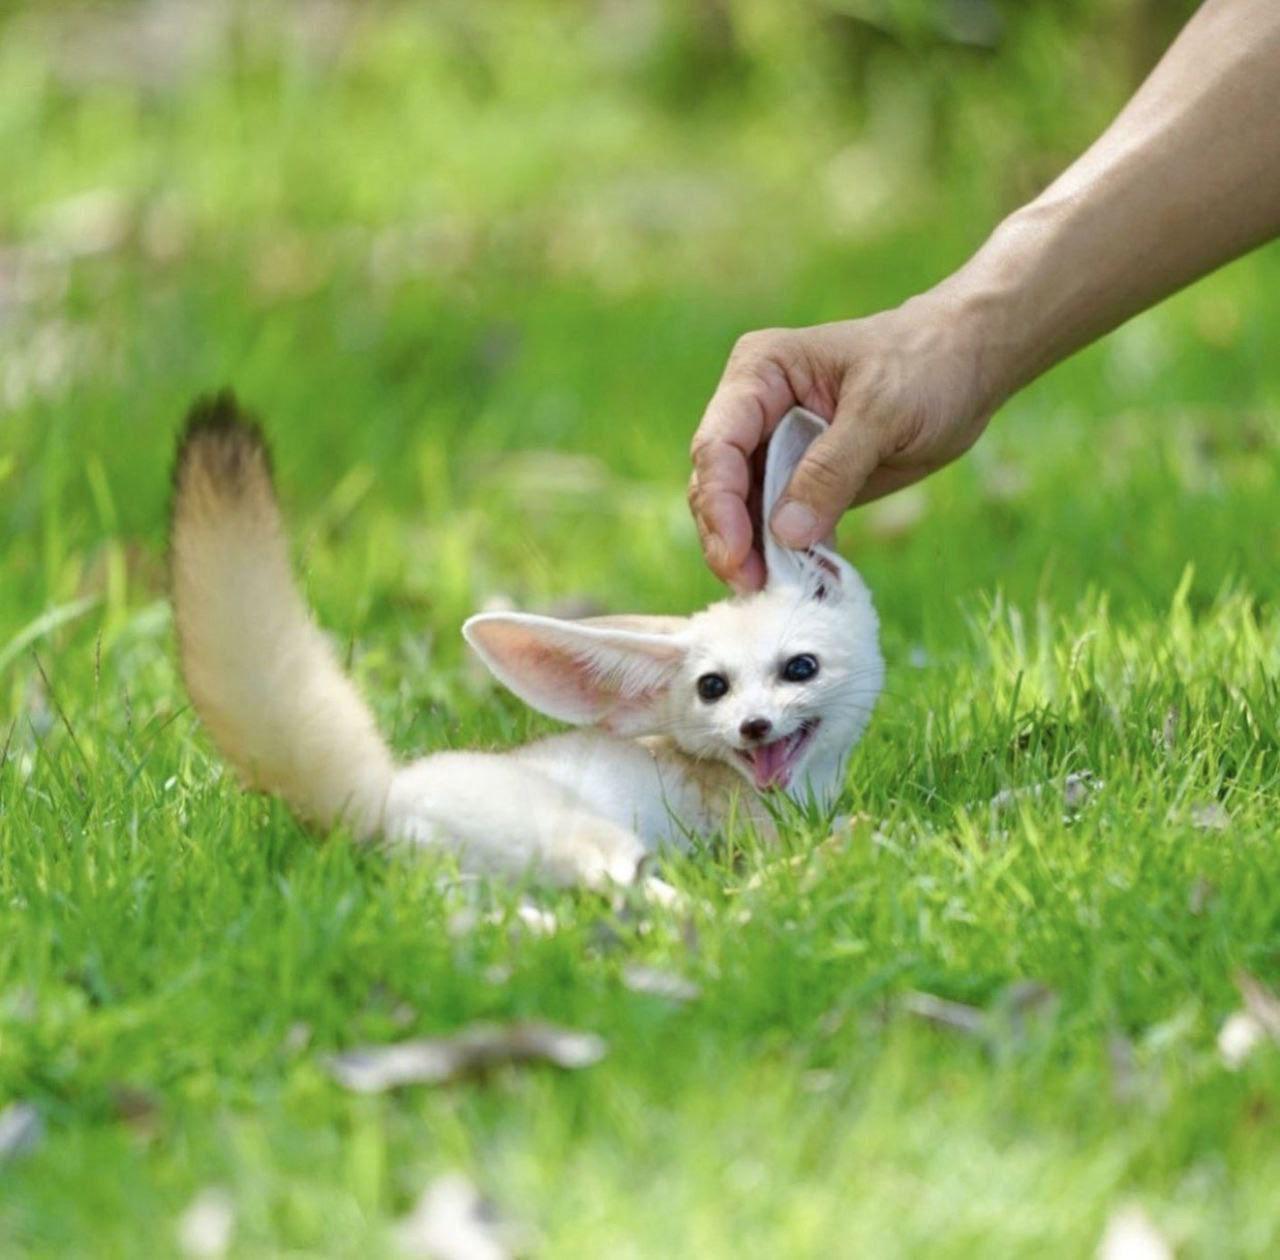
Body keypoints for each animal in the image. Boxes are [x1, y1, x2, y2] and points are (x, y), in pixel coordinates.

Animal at [169, 394, 883, 889]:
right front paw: (833, 843)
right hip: (586, 833)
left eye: (800, 668)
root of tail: (385, 798)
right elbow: (773, 845)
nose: (753, 727)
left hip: (465, 890)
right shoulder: (753, 827)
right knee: (631, 889)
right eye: (713, 687)